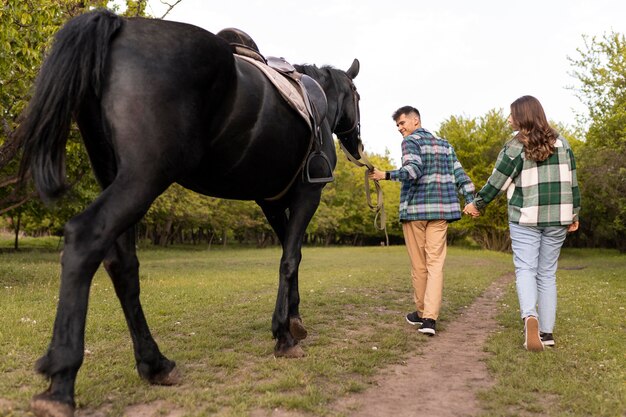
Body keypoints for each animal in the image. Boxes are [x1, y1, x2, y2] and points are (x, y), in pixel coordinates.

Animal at [15, 9, 360, 416]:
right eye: (358, 96)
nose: (357, 142)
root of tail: (119, 26)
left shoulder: (273, 202)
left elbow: (291, 256)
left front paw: (293, 320)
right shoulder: (307, 194)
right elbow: (290, 259)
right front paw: (284, 335)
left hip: (115, 175)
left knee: (121, 264)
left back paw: (154, 363)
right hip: (144, 177)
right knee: (86, 239)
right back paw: (61, 381)